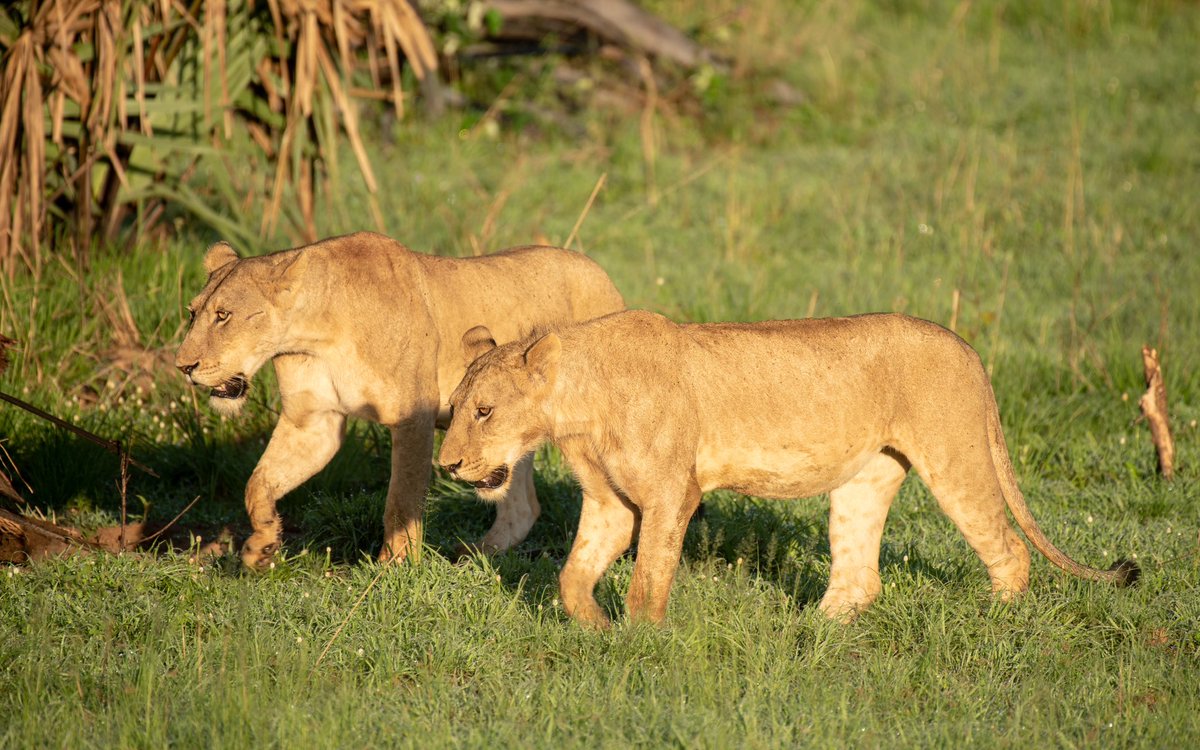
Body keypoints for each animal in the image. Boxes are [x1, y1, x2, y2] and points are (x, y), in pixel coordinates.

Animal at [174, 231, 624, 569]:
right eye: (193, 313)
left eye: (224, 315)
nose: (183, 366)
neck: (315, 333)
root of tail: (604, 275)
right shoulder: (314, 421)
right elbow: (260, 482)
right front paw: (262, 544)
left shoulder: (413, 417)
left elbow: (400, 500)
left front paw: (395, 567)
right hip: (502, 443)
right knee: (521, 506)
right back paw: (469, 560)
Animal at [438, 310, 1138, 627]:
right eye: (452, 409)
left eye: (484, 410)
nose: (448, 464)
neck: (579, 406)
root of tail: (967, 348)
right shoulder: (612, 504)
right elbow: (572, 575)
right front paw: (595, 630)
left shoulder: (672, 493)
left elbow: (648, 577)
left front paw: (641, 639)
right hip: (864, 480)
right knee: (860, 576)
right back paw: (807, 634)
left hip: (954, 459)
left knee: (1009, 549)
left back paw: (994, 624)